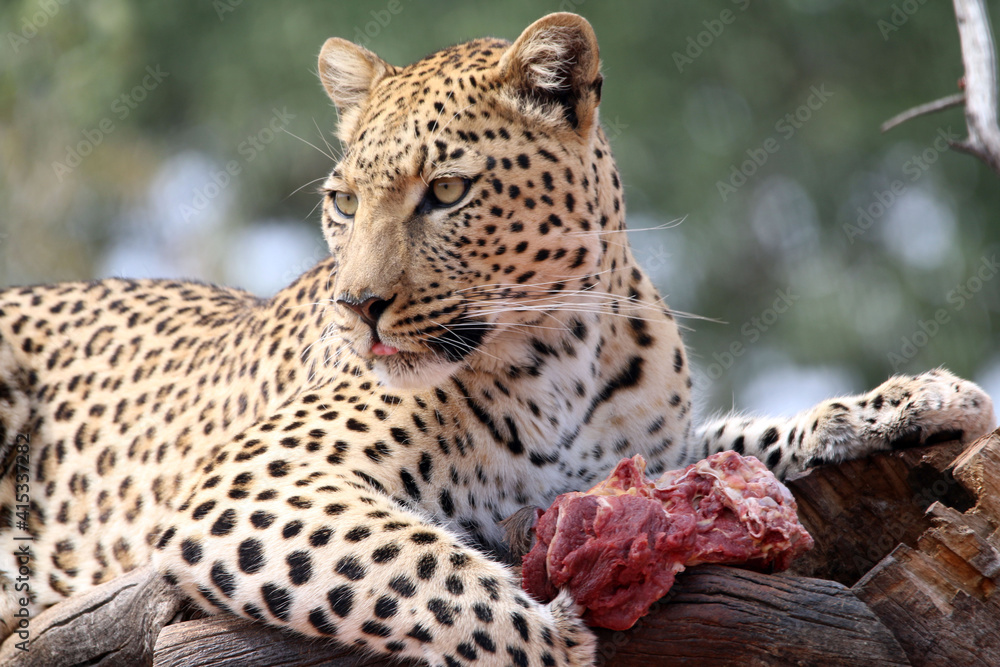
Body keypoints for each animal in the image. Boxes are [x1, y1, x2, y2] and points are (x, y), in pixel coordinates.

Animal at [0, 12, 994, 667]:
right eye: (343, 201)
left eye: (445, 192)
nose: (357, 306)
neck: (568, 350)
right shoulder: (255, 479)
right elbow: (409, 566)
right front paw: (552, 634)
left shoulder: (648, 455)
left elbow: (748, 440)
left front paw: (913, 400)